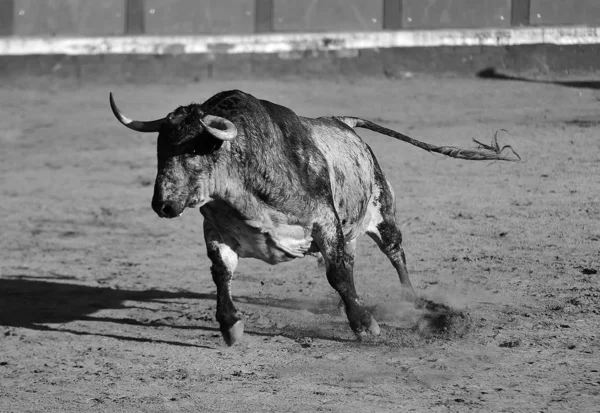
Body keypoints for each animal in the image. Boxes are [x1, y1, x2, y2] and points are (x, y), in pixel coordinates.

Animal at [109, 90, 520, 344]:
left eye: (194, 150)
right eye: (160, 149)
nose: (162, 205)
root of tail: (343, 122)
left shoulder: (324, 222)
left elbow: (336, 274)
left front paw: (365, 324)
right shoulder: (217, 230)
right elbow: (221, 275)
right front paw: (230, 326)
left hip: (382, 212)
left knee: (395, 253)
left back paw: (412, 301)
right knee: (354, 260)